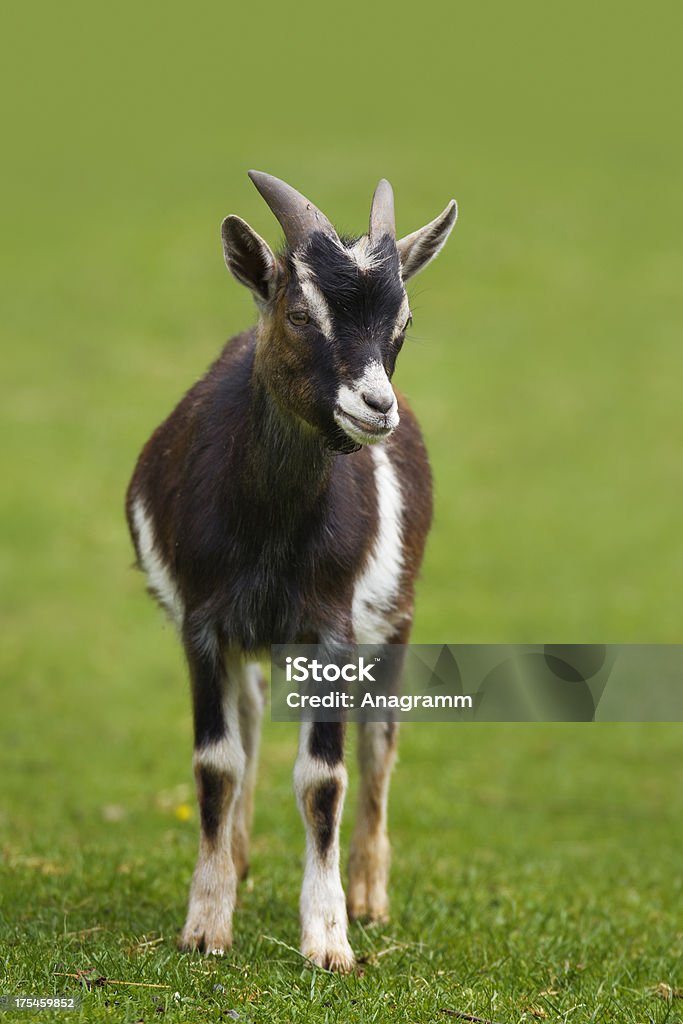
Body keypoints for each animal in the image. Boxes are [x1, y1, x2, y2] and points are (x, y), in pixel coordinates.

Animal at [126, 172, 458, 970]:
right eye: (301, 311)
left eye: (403, 321)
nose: (375, 406)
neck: (268, 533)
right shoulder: (203, 625)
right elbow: (216, 762)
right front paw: (207, 923)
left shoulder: (331, 627)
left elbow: (323, 778)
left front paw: (330, 936)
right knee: (248, 723)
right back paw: (241, 857)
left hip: (393, 623)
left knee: (379, 741)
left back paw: (368, 892)